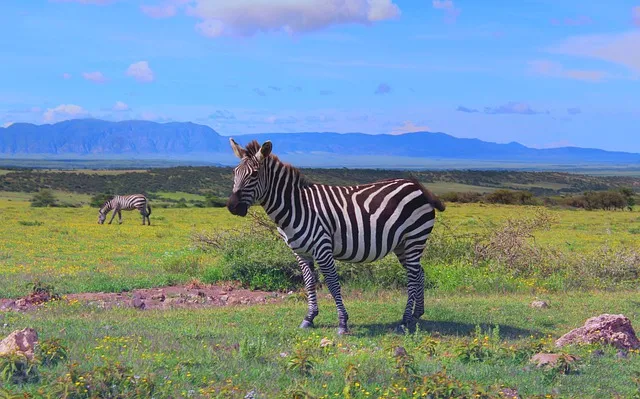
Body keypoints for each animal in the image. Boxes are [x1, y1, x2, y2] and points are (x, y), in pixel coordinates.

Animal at [226, 139, 444, 336]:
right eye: (234, 173)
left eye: (254, 174)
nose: (232, 206)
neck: (296, 206)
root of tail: (418, 186)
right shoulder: (301, 253)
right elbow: (309, 282)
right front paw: (309, 318)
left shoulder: (322, 248)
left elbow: (332, 284)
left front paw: (342, 323)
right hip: (402, 245)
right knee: (419, 273)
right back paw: (416, 314)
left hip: (415, 238)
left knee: (413, 276)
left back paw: (405, 320)